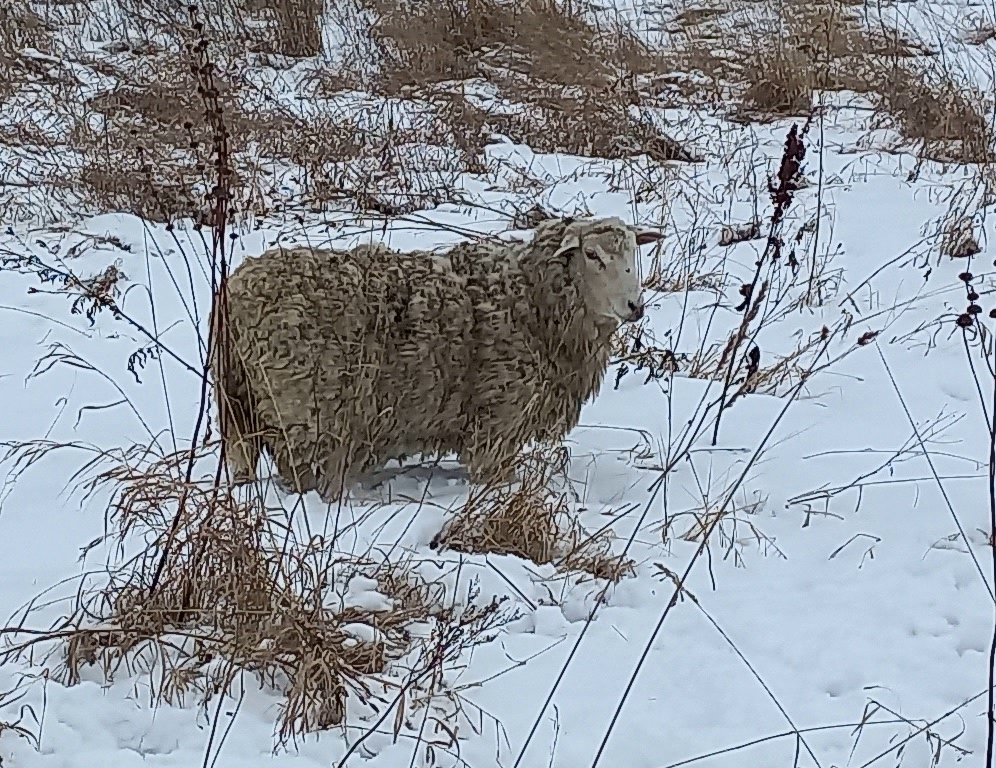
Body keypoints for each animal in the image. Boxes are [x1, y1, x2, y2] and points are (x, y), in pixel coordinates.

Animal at [210, 218, 660, 504]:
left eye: (634, 253)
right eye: (591, 254)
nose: (635, 306)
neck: (531, 300)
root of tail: (237, 290)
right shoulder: (498, 423)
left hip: (236, 405)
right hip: (306, 417)